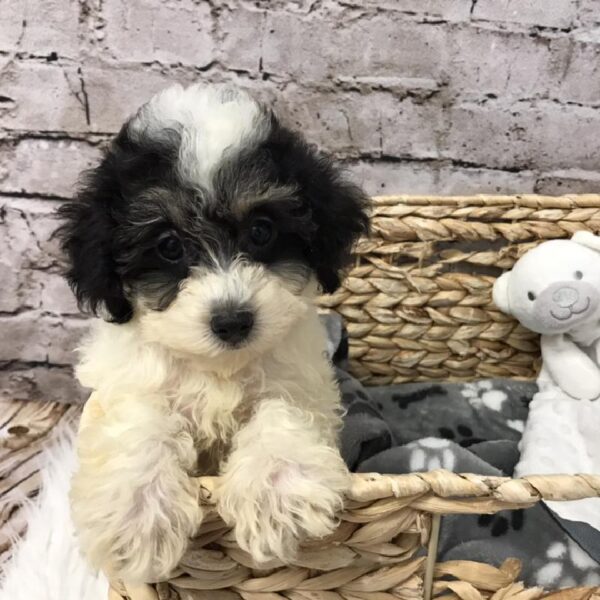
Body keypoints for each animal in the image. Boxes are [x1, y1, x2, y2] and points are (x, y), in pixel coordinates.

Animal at [57, 82, 370, 584]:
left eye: (261, 230)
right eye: (168, 246)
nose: (232, 320)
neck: (217, 368)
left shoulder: (299, 380)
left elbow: (281, 409)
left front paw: (277, 492)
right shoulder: (129, 382)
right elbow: (139, 419)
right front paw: (136, 516)